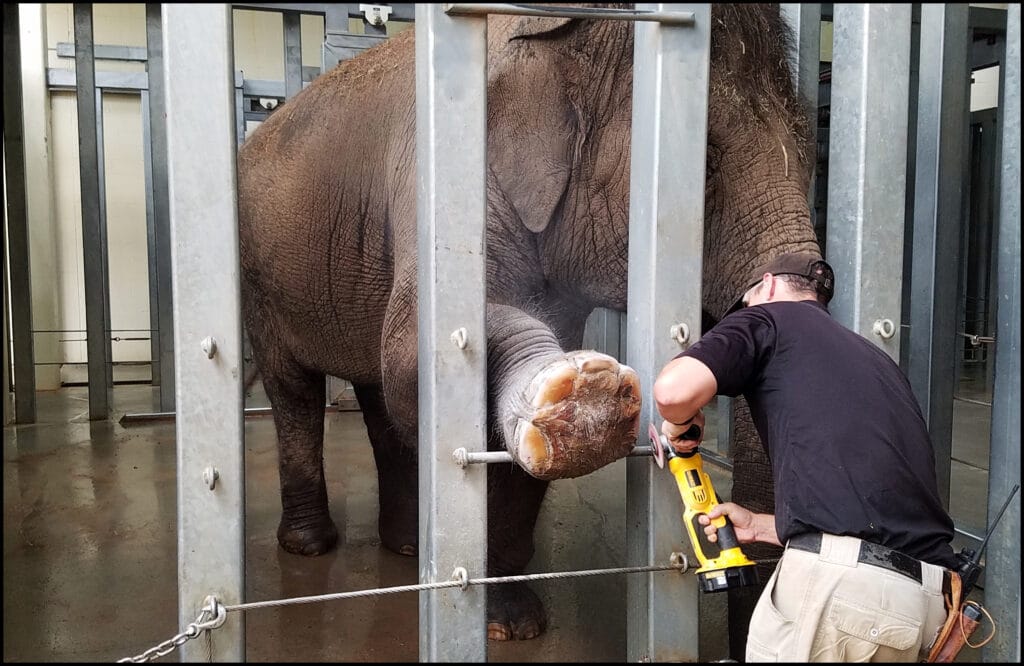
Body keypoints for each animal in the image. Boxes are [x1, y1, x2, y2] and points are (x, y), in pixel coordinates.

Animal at [235, 2, 819, 647]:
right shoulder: (441, 183)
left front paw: (513, 622)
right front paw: (581, 390)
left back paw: (409, 546)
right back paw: (312, 546)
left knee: (375, 396)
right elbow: (415, 354)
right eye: (705, 168)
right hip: (259, 276)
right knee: (296, 388)